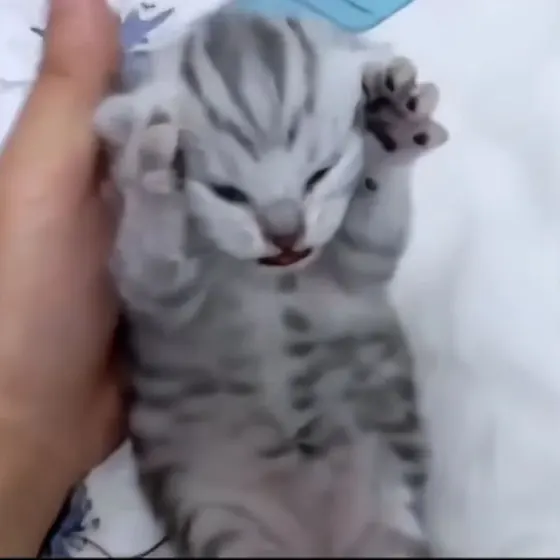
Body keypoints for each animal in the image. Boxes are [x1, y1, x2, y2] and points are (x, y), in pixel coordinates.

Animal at [95, 7, 448, 557]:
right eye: (227, 193)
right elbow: (154, 272)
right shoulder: (156, 298)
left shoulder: (357, 267)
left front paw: (390, 131)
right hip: (226, 522)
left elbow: (374, 239)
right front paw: (149, 166)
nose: (286, 235)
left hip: (387, 517)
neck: (267, 278)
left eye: (320, 174)